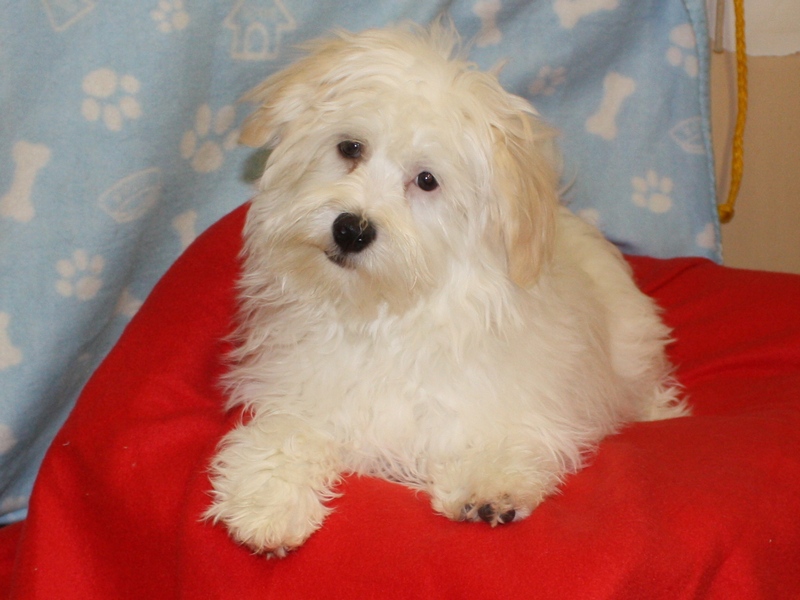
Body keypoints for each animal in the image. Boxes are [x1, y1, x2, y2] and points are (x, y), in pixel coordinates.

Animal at [206, 22, 689, 557]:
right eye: (350, 148)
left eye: (426, 180)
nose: (351, 230)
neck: (381, 318)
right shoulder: (303, 391)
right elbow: (287, 432)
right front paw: (266, 499)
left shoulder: (520, 406)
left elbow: (505, 437)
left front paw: (488, 485)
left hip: (632, 343)